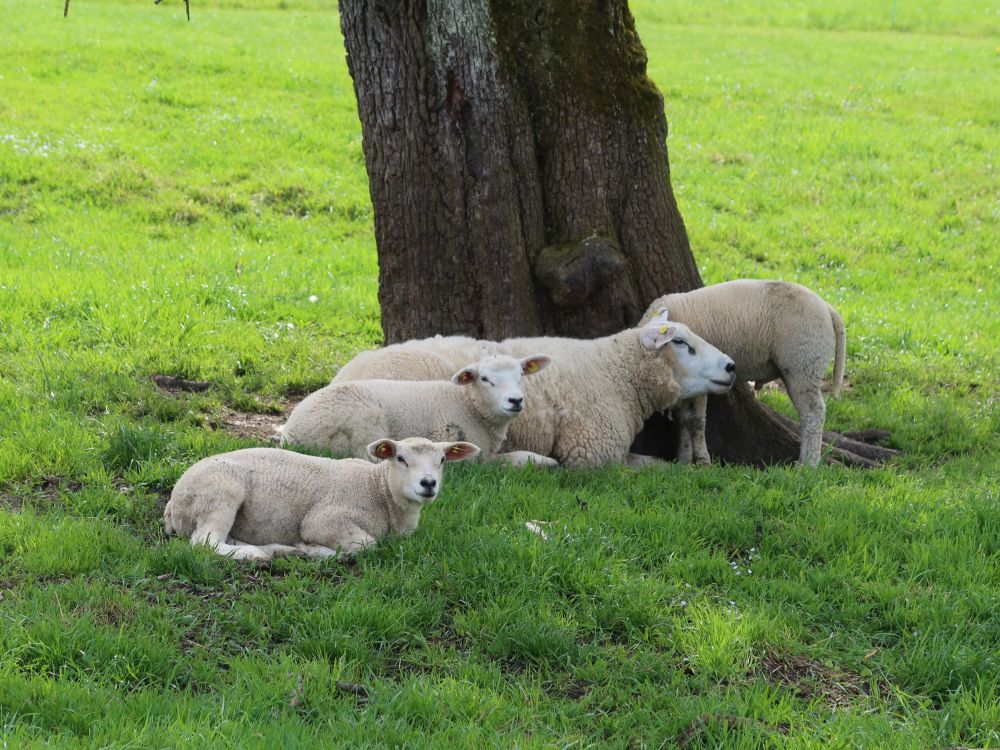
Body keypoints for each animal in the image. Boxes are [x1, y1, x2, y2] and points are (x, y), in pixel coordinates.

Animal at [163, 437, 480, 562]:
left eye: (442, 460)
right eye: (400, 458)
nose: (428, 483)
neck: (378, 490)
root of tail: (172, 504)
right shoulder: (325, 519)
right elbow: (366, 545)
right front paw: (314, 549)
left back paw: (275, 549)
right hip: (220, 490)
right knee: (204, 542)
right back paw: (255, 555)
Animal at [282, 354, 555, 467]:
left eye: (521, 376)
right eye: (486, 379)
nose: (515, 400)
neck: (469, 404)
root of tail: (290, 433)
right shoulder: (471, 455)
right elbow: (515, 458)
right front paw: (547, 462)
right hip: (364, 422)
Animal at [640, 279, 846, 467]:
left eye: (678, 341)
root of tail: (828, 308)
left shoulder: (701, 381)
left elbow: (695, 420)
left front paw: (703, 461)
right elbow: (682, 419)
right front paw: (683, 460)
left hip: (803, 364)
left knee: (813, 413)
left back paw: (809, 464)